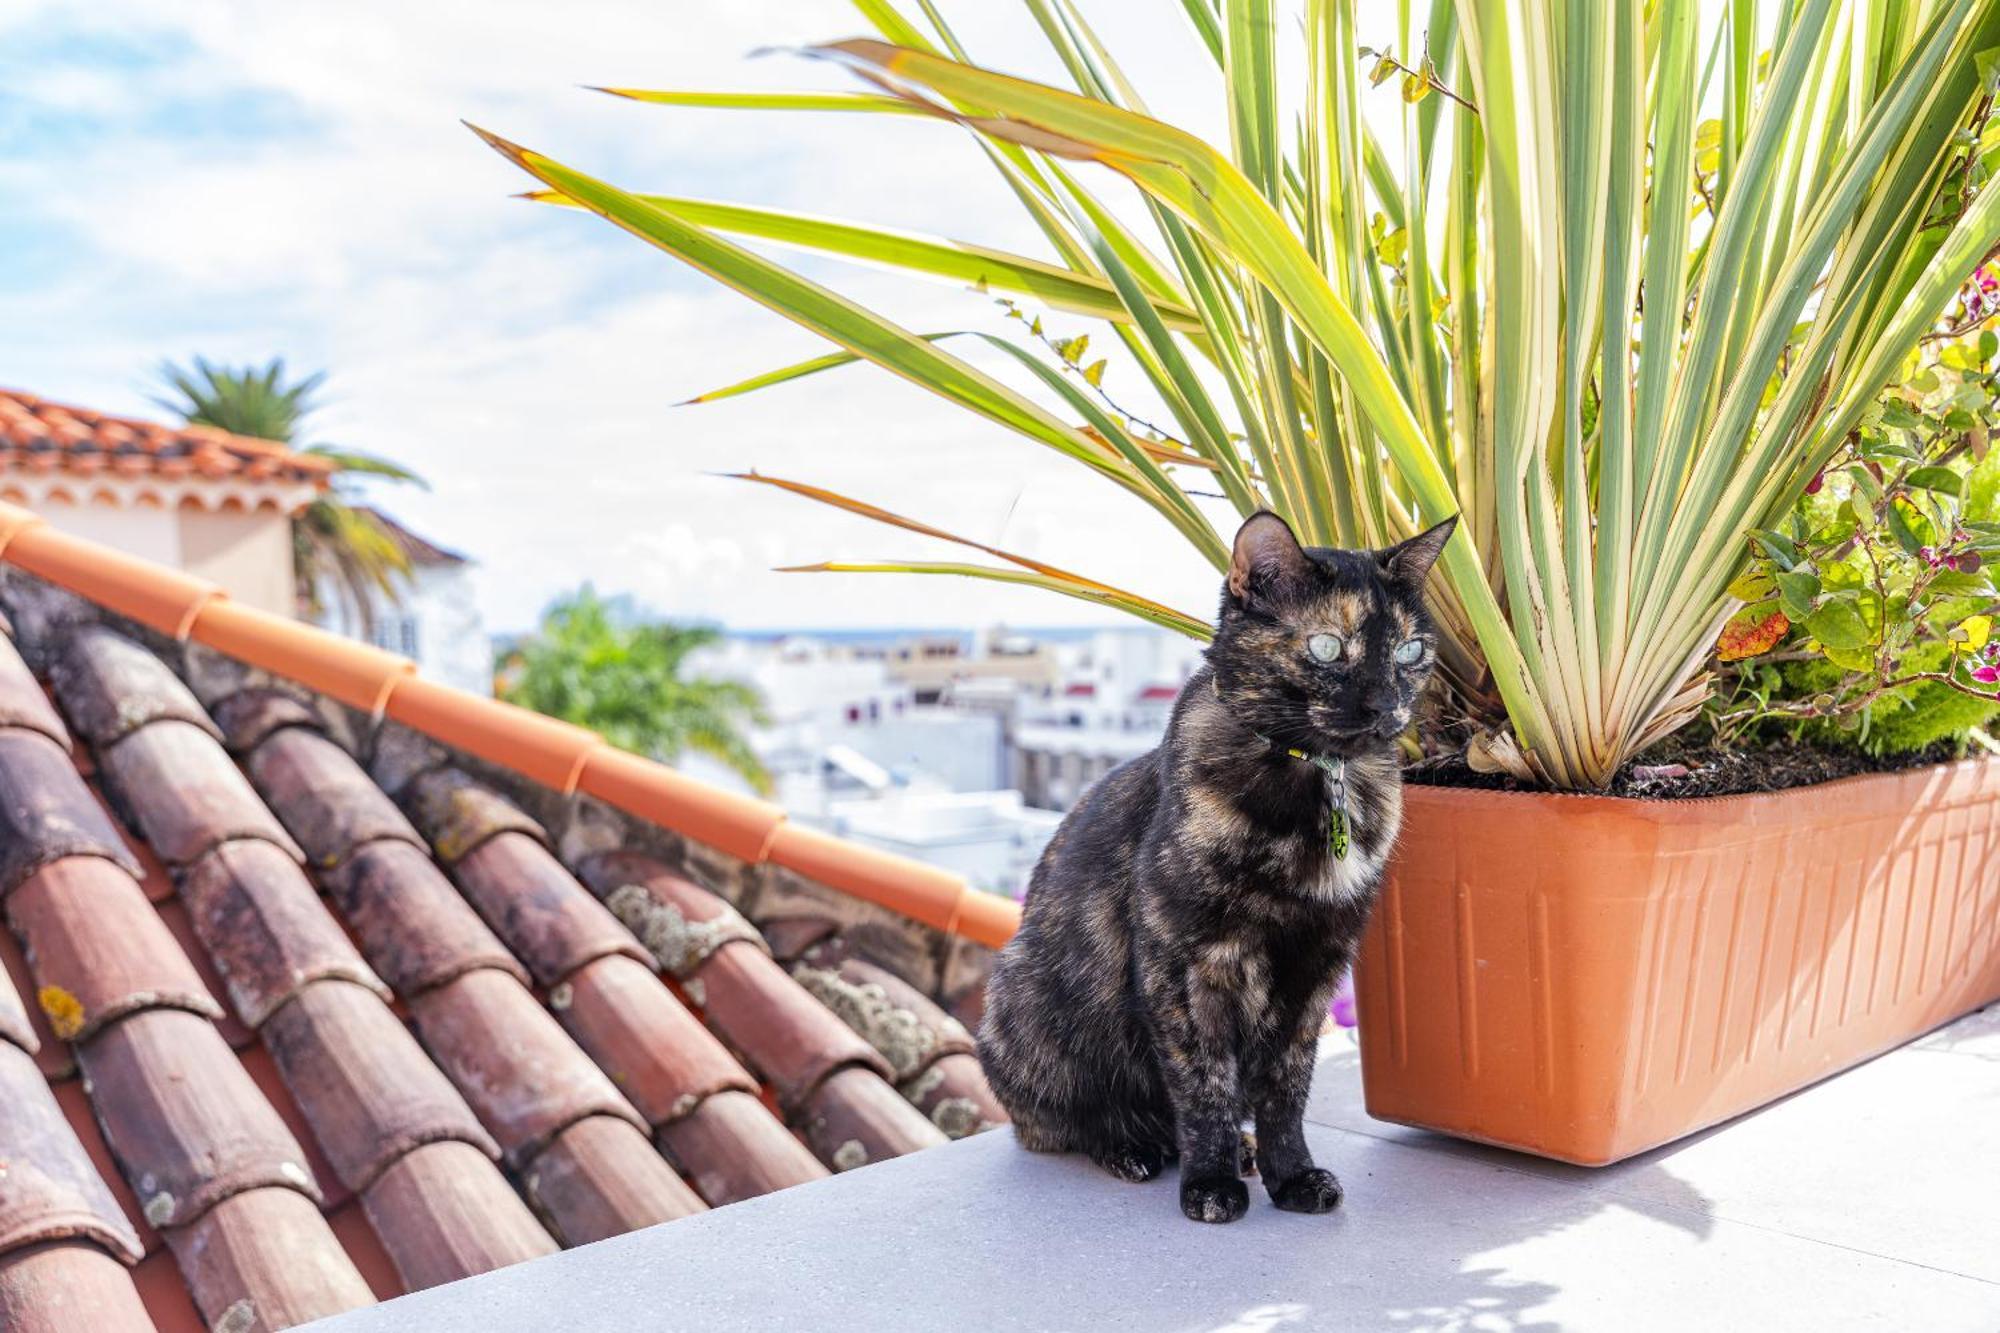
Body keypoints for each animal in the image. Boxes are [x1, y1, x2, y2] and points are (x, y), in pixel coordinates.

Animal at [980, 512, 1456, 1216]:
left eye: (1408, 653)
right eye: (1326, 648)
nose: (1383, 707)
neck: (1318, 781)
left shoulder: (1316, 967)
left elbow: (1286, 1090)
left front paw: (1294, 1175)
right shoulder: (1184, 966)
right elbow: (1205, 1085)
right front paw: (1210, 1184)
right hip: (1023, 995)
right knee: (1058, 1124)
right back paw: (1132, 1148)